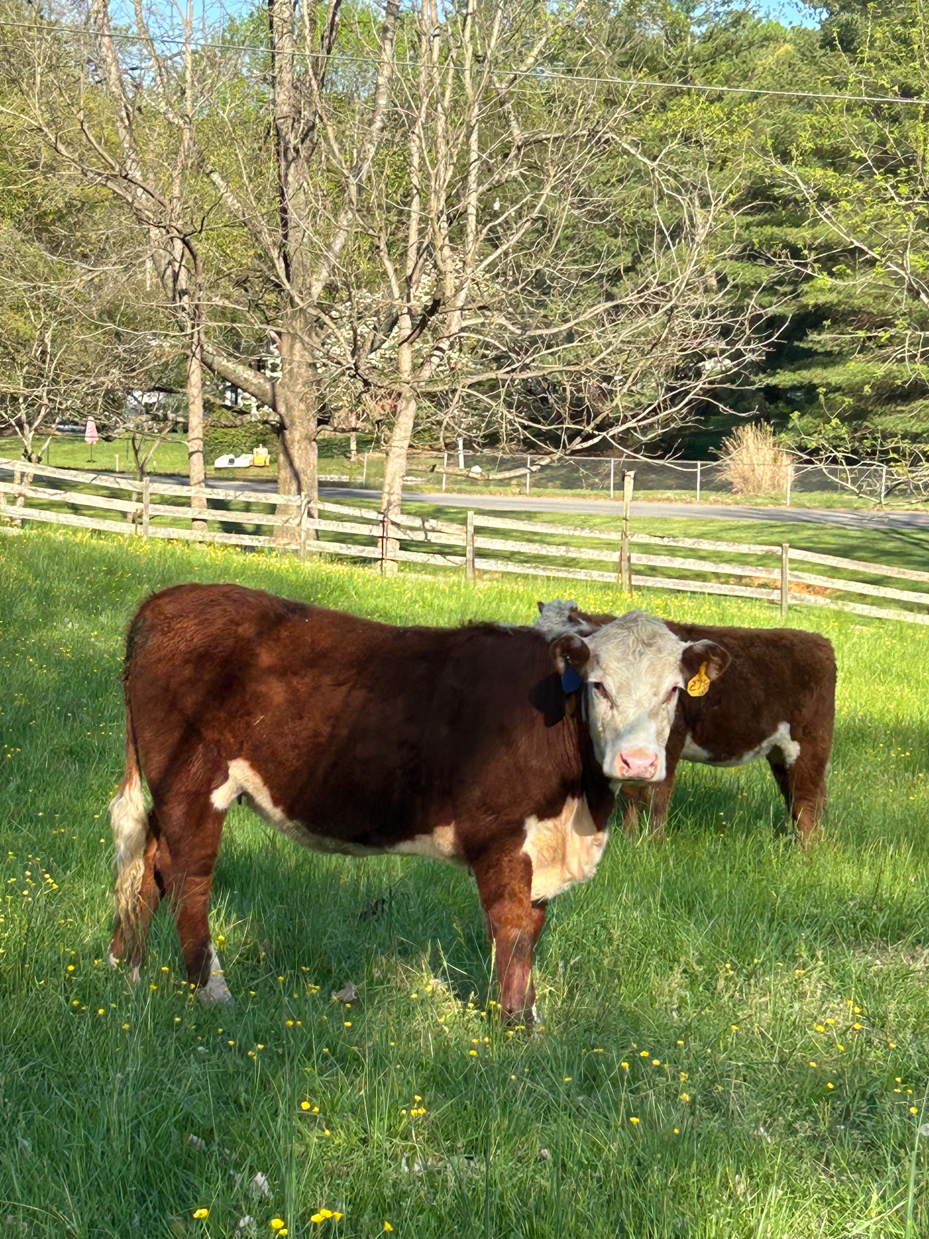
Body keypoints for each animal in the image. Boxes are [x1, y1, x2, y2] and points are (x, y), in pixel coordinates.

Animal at [108, 584, 730, 1019]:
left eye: (673, 691)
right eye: (599, 685)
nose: (638, 763)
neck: (578, 810)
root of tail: (163, 601)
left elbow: (533, 926)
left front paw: (527, 1014)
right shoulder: (501, 835)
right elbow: (513, 928)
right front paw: (516, 1026)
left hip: (170, 788)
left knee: (149, 864)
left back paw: (127, 972)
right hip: (194, 781)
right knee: (188, 876)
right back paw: (212, 992)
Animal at [537, 600, 836, 844]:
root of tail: (818, 641)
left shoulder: (669, 745)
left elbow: (657, 797)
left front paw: (653, 845)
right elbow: (631, 794)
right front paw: (631, 838)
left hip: (809, 748)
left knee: (806, 800)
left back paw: (806, 852)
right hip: (780, 752)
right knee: (798, 797)